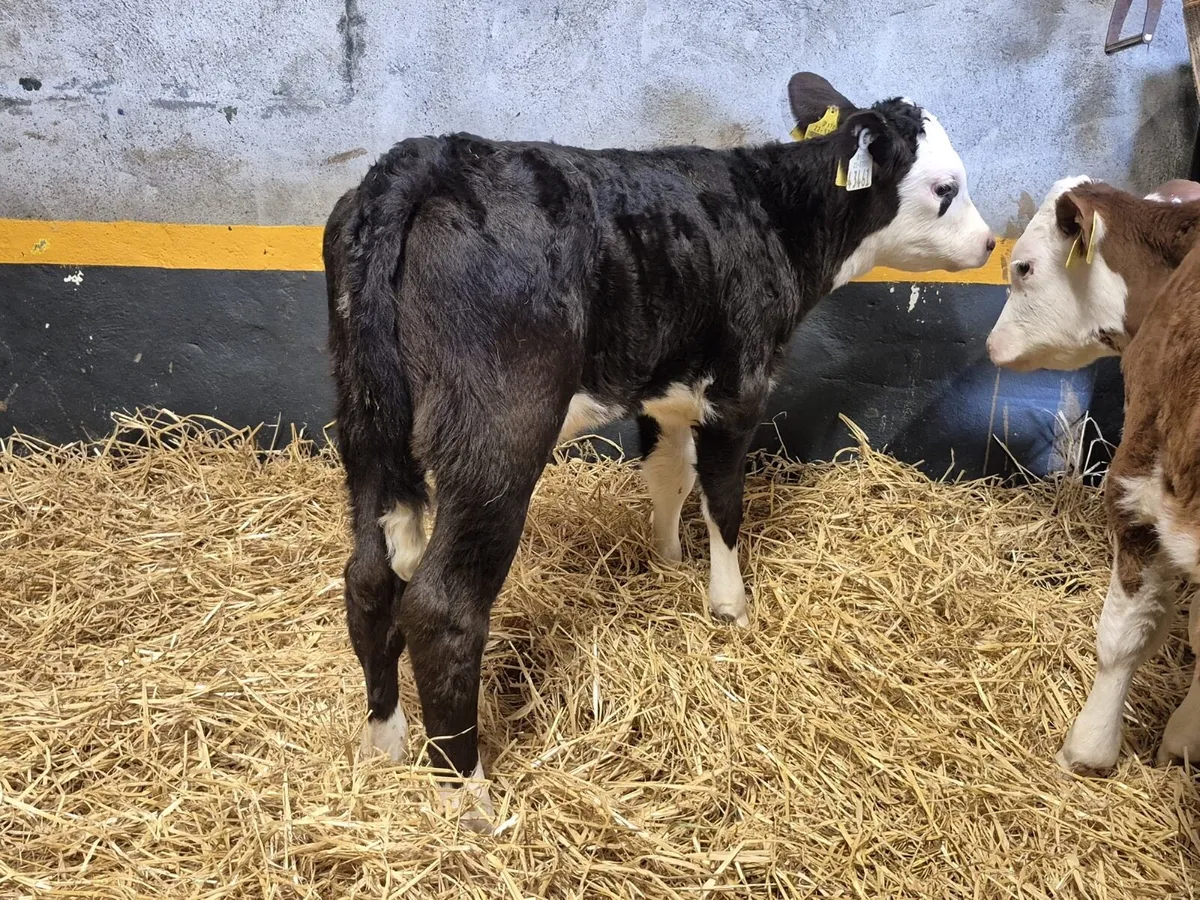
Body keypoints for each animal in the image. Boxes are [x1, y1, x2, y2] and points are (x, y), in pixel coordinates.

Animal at [324, 72, 995, 828]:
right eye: (945, 188)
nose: (990, 243)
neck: (775, 219)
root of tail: (425, 159)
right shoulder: (741, 386)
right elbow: (724, 501)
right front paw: (731, 606)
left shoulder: (665, 388)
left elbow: (669, 476)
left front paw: (666, 561)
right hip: (497, 430)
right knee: (441, 606)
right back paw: (469, 795)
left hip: (366, 423)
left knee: (370, 576)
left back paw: (384, 741)